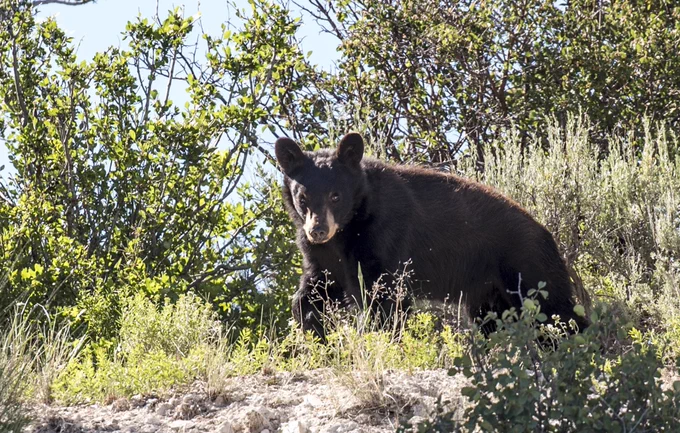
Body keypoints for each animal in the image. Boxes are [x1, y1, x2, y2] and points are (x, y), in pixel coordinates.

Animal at [275, 132, 589, 338]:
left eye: (335, 195)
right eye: (303, 197)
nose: (318, 230)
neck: (347, 229)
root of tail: (547, 233)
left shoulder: (383, 235)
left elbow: (385, 296)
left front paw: (378, 339)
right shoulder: (322, 255)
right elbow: (316, 287)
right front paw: (314, 331)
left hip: (527, 264)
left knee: (556, 310)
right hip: (489, 292)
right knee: (495, 320)